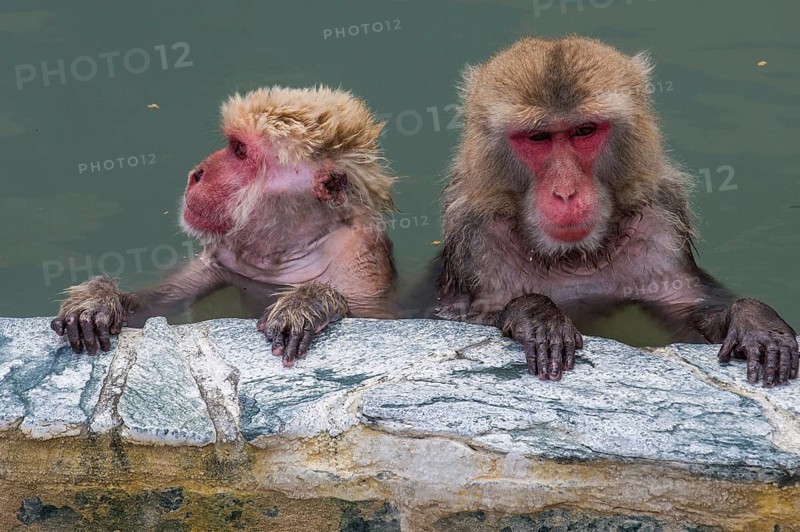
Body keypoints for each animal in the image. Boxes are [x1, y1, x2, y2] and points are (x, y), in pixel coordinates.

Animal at [51, 85, 397, 367]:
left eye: (240, 151)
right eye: (233, 145)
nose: (197, 173)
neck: (293, 245)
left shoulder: (358, 261)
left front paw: (308, 302)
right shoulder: (225, 253)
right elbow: (162, 302)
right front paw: (99, 300)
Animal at [435, 36, 798, 387]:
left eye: (584, 131)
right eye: (538, 137)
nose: (565, 192)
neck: (573, 257)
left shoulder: (658, 224)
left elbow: (687, 312)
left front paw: (753, 319)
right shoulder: (477, 240)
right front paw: (536, 314)